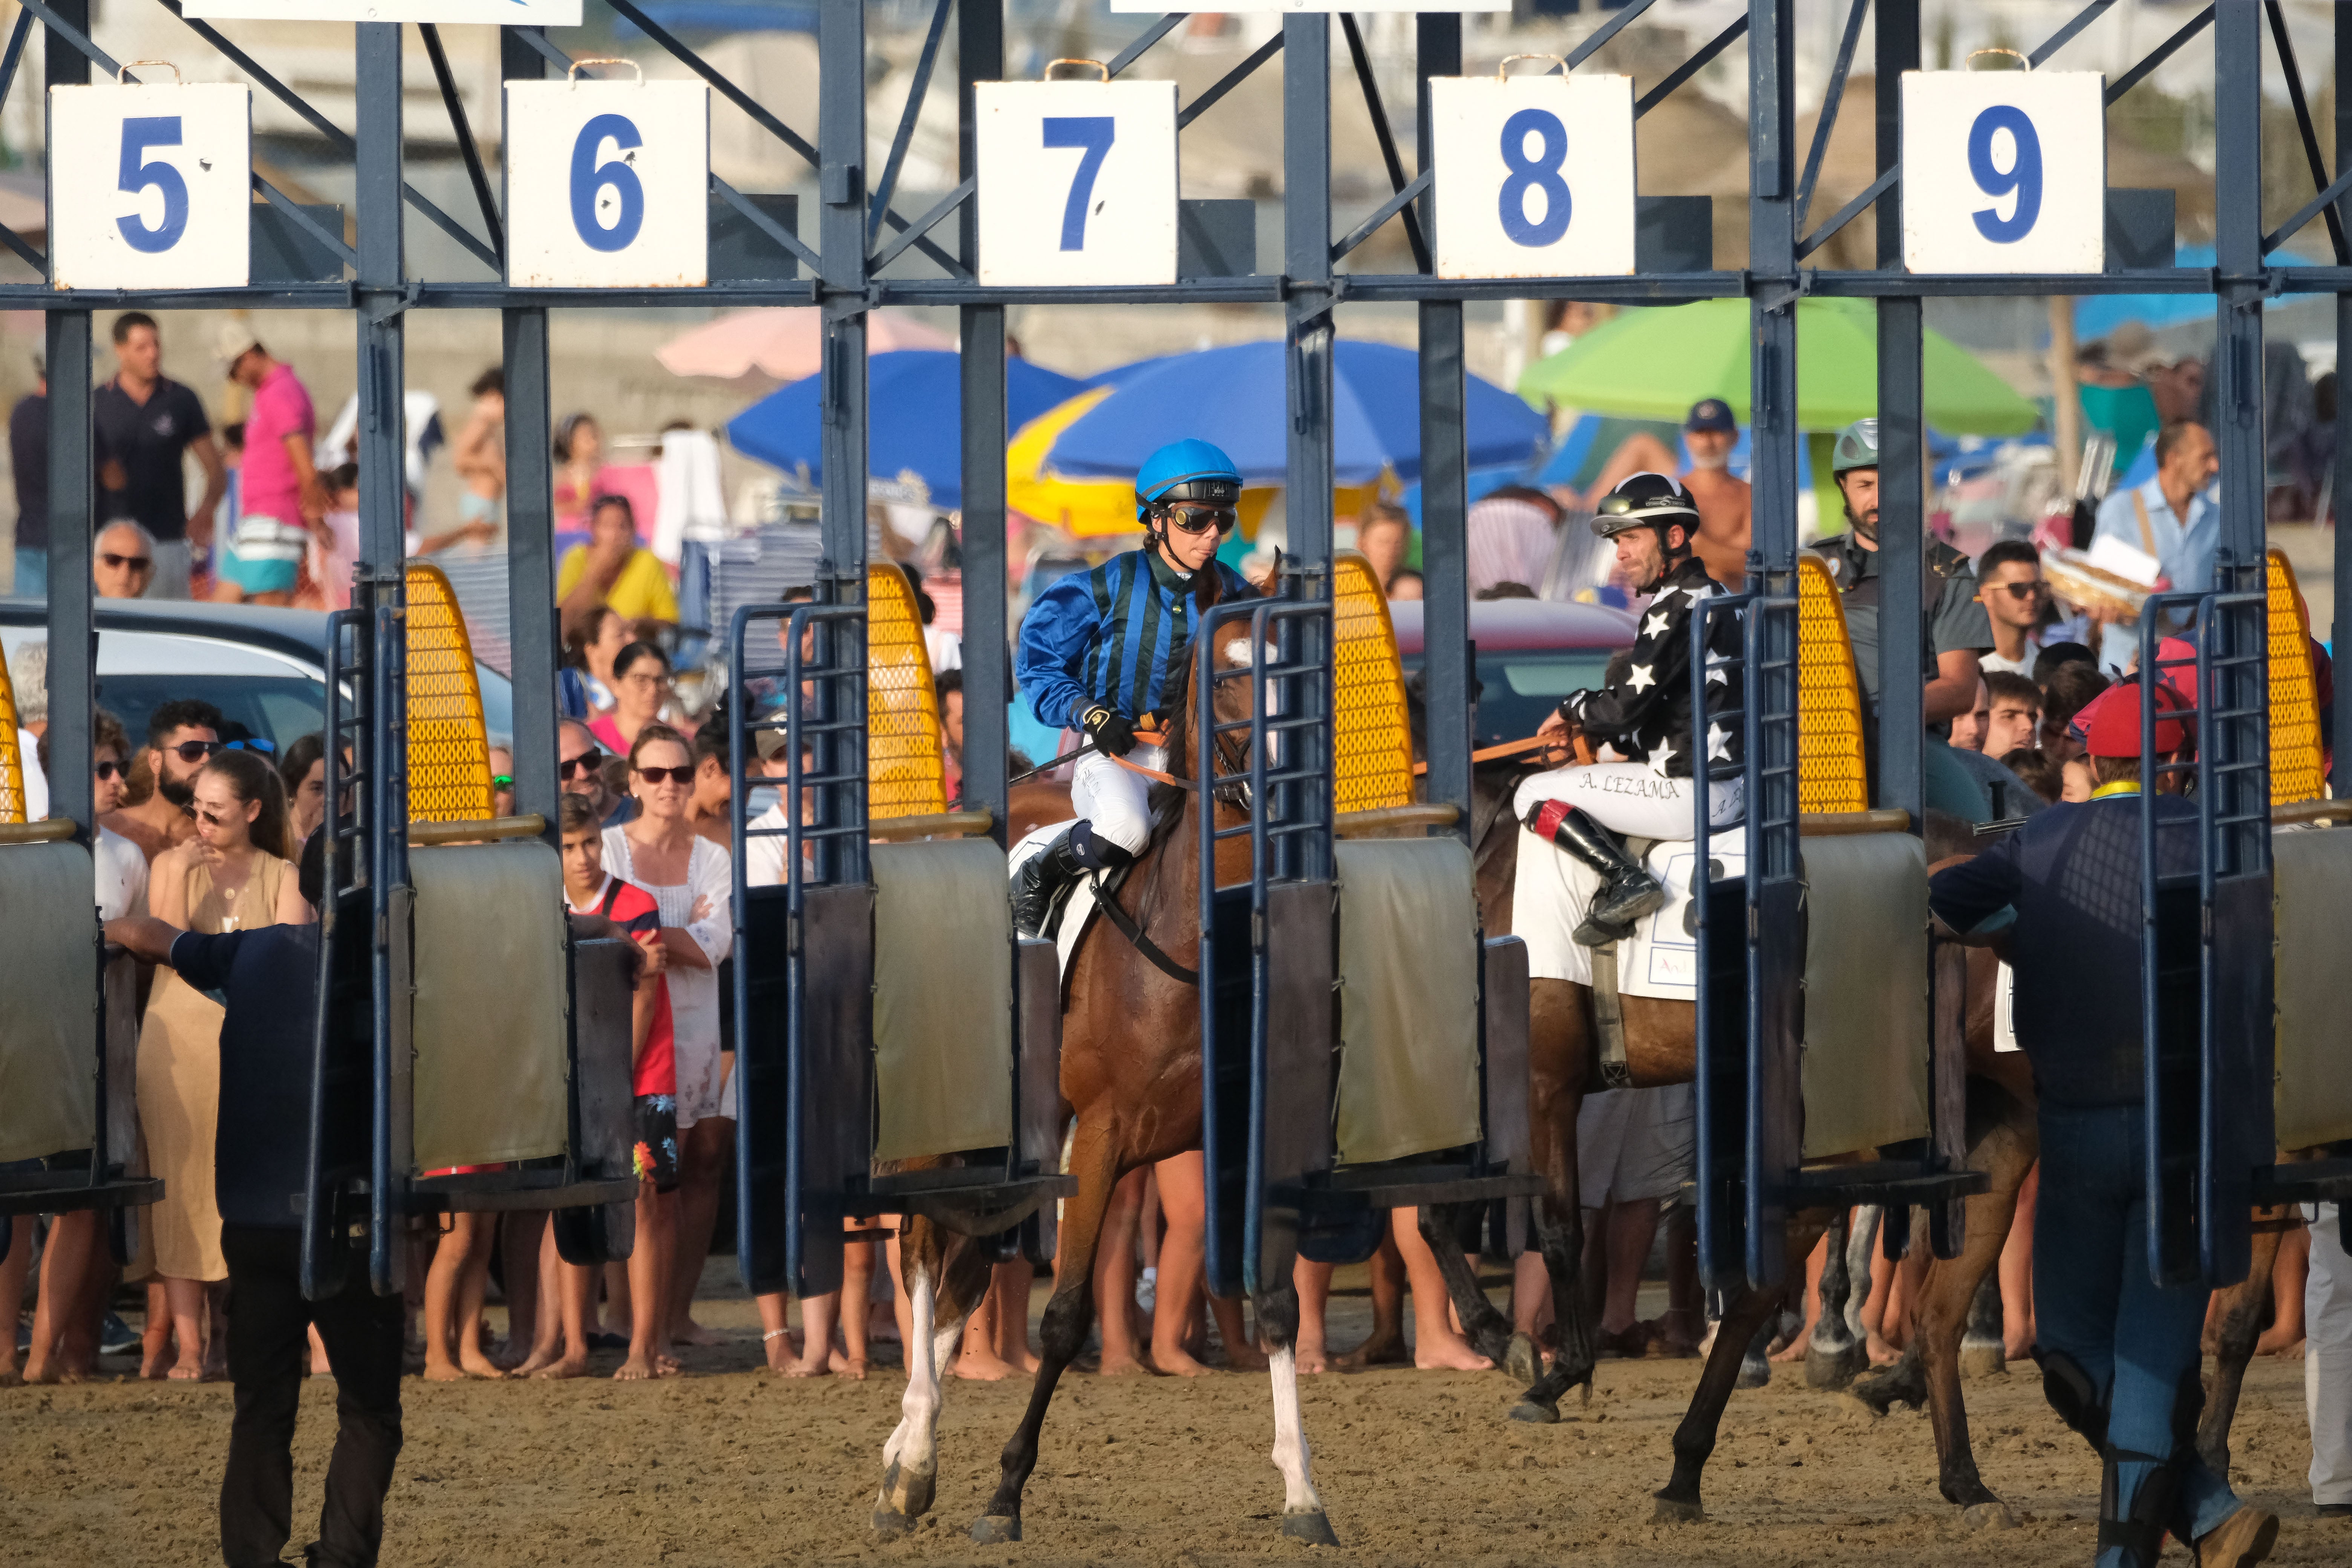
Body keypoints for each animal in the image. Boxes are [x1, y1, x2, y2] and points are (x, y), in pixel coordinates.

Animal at [875, 620, 1345, 1542]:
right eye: (1225, 678)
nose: (1272, 788)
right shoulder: (1099, 1135)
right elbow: (1062, 1318)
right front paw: (1004, 1494)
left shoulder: (1246, 1133)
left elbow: (1276, 1301)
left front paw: (1305, 1493)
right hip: (946, 1126)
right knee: (921, 1254)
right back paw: (913, 1454)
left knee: (962, 1280)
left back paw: (907, 1456)